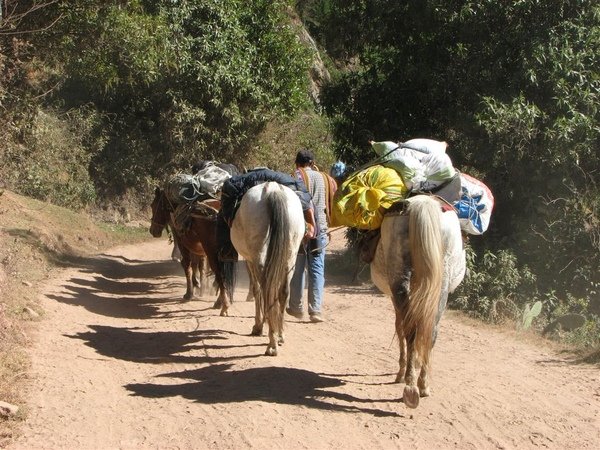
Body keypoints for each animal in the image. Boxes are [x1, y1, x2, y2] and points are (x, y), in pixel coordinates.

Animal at [149, 188, 236, 318]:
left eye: (153, 205)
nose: (153, 231)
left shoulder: (183, 244)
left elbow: (187, 265)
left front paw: (189, 293)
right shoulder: (199, 249)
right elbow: (198, 266)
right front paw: (198, 285)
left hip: (213, 253)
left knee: (220, 274)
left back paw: (223, 305)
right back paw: (219, 302)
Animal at [230, 182, 304, 356]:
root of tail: (272, 188)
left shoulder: (249, 260)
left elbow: (256, 290)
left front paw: (258, 326)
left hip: (259, 257)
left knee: (266, 291)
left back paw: (271, 343)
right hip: (290, 257)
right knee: (283, 292)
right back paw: (280, 335)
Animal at [370, 194, 468, 408]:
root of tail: (422, 203)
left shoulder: (394, 296)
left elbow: (400, 327)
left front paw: (401, 370)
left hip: (399, 278)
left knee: (411, 330)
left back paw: (410, 383)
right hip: (441, 282)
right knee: (429, 331)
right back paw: (421, 385)